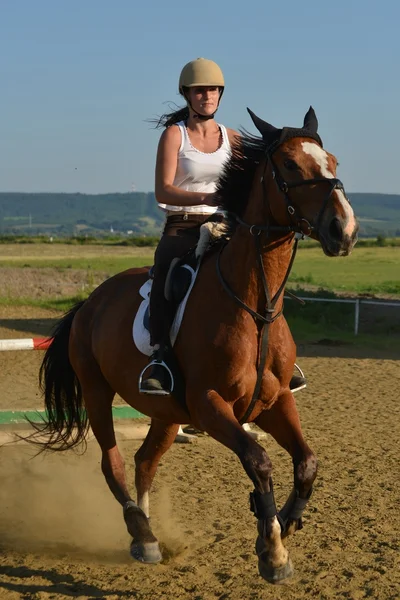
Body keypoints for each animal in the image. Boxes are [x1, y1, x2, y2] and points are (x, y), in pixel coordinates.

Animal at [33, 105, 360, 584]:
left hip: (167, 413)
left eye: (332, 161)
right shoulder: (209, 405)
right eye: (288, 165)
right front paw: (272, 549)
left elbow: (307, 463)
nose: (345, 230)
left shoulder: (276, 399)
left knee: (145, 461)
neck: (255, 306)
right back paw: (141, 534)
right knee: (113, 462)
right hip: (96, 391)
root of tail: (90, 302)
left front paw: (286, 521)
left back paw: (150, 535)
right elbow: (259, 461)